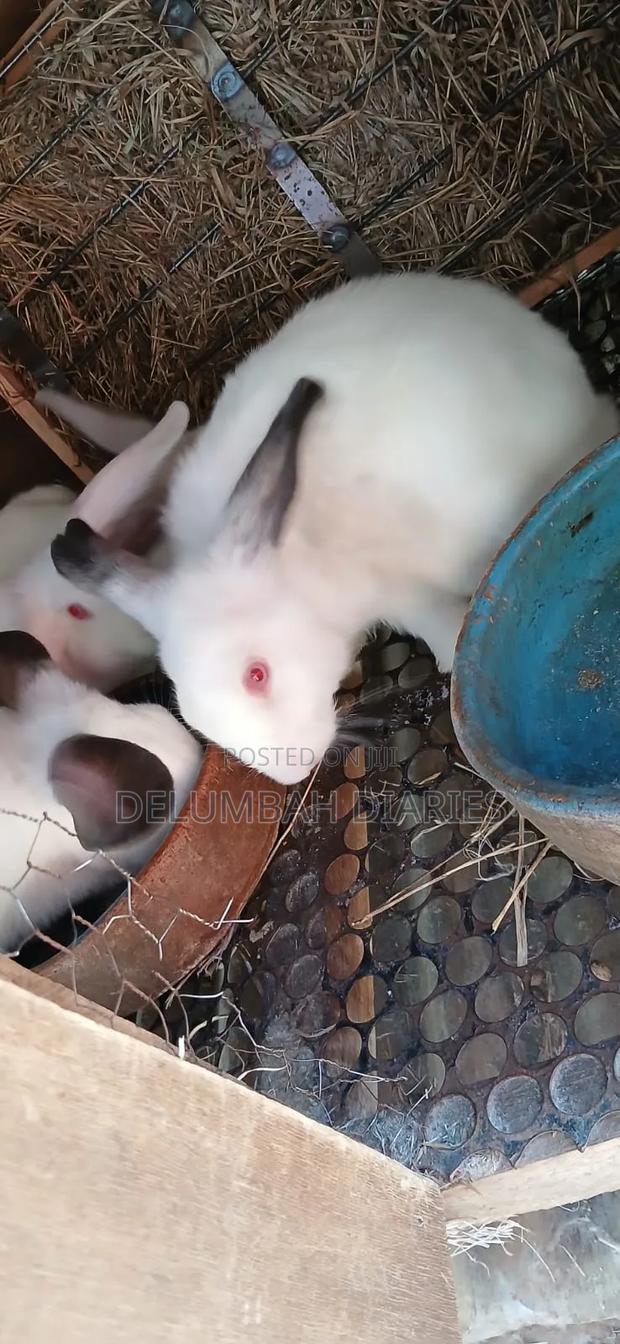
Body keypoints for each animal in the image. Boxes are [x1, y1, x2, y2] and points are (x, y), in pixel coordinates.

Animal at [50, 270, 620, 786]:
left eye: (257, 675)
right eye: (188, 712)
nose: (294, 771)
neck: (306, 556)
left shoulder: (398, 586)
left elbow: (439, 623)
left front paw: (451, 654)